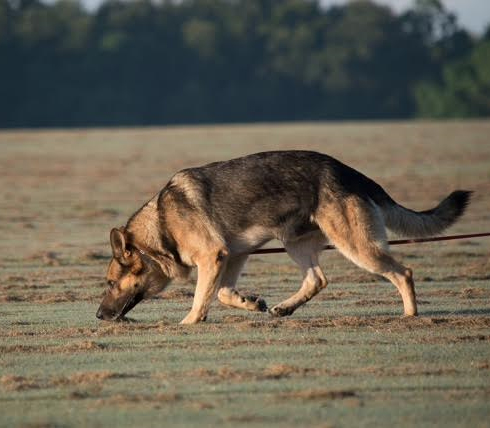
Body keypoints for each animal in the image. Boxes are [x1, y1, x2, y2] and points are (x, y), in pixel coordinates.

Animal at [94, 152, 470, 322]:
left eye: (111, 283)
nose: (97, 315)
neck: (161, 226)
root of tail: (351, 172)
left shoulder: (213, 256)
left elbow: (203, 297)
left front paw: (189, 322)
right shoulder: (233, 255)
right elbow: (224, 294)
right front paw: (250, 302)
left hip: (355, 245)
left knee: (402, 272)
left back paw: (410, 316)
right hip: (294, 242)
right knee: (317, 279)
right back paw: (285, 308)